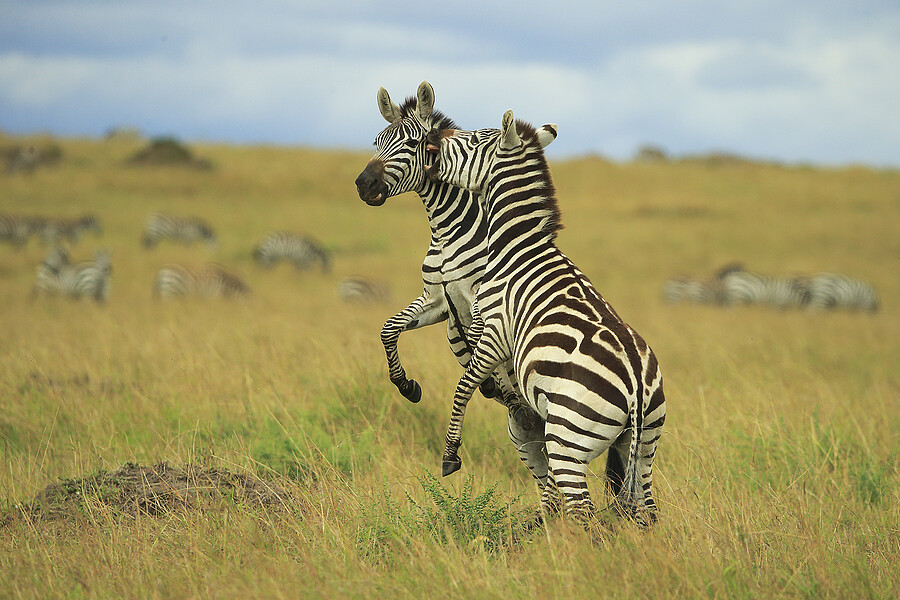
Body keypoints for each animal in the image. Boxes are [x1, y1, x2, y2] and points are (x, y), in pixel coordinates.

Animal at [354, 81, 550, 493]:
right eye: (377, 141)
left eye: (412, 143)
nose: (364, 185)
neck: (444, 232)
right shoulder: (437, 302)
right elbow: (389, 329)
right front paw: (407, 386)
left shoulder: (480, 300)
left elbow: (477, 340)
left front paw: (494, 383)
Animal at [425, 110, 666, 526]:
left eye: (472, 140)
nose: (432, 139)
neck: (518, 246)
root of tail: (637, 384)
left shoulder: (495, 330)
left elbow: (463, 383)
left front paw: (451, 454)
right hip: (645, 444)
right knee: (646, 511)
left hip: (569, 438)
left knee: (584, 512)